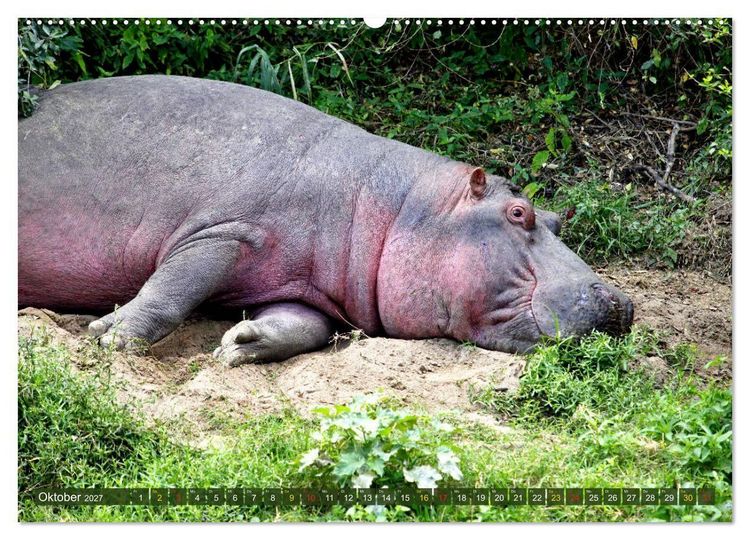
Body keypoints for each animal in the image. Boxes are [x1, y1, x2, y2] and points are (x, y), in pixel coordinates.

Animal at [18, 75, 633, 365]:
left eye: (556, 218)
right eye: (518, 212)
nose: (622, 301)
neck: (393, 206)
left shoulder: (302, 286)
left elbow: (301, 326)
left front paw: (239, 342)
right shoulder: (225, 232)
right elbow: (172, 286)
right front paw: (111, 336)